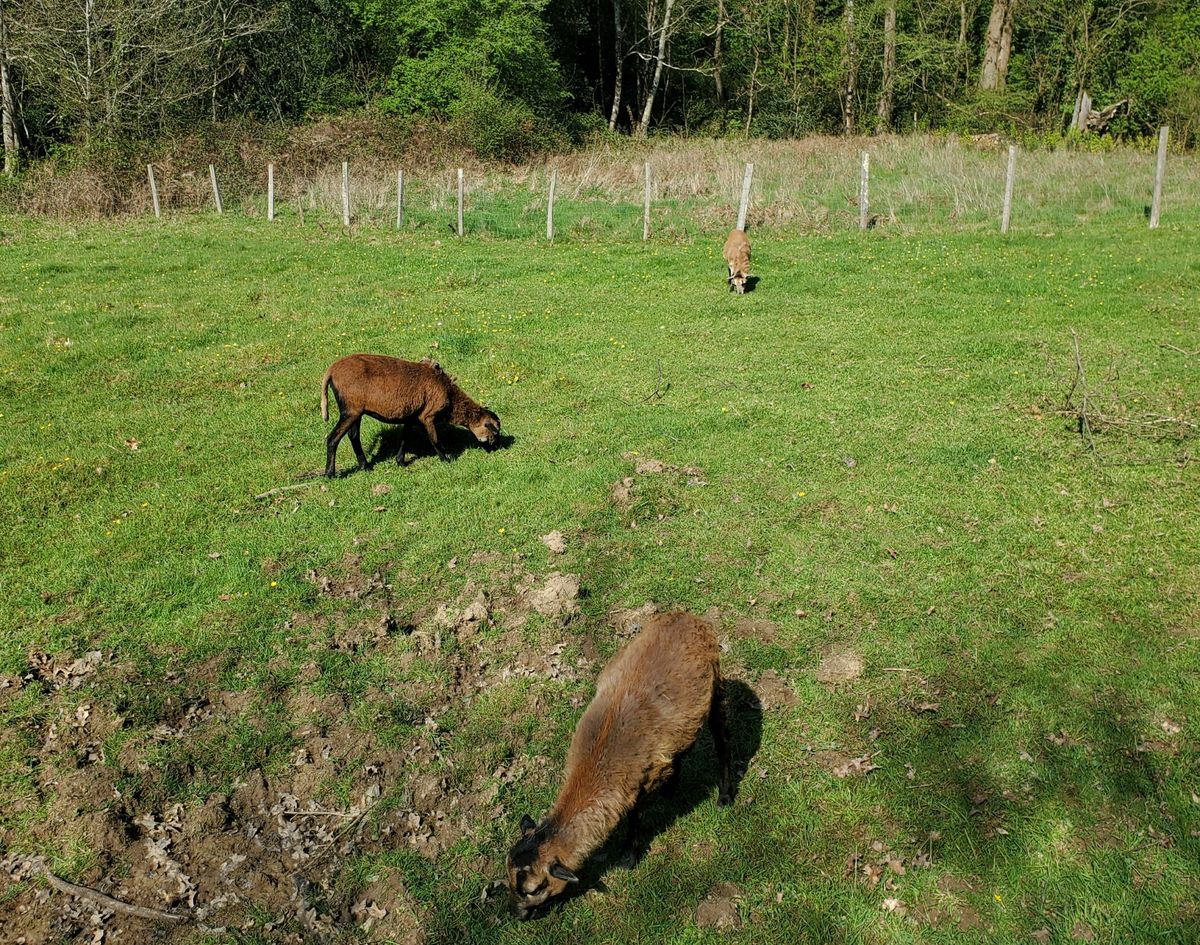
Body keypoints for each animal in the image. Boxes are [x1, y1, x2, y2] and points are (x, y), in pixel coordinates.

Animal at [319, 354, 501, 478]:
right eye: (495, 431)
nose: (495, 448)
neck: (450, 396)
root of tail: (331, 371)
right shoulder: (427, 415)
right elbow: (434, 440)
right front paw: (446, 460)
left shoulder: (412, 415)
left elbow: (405, 437)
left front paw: (400, 461)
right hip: (350, 410)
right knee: (333, 438)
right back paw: (330, 474)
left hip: (356, 411)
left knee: (353, 436)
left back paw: (365, 466)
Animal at [506, 611, 731, 920]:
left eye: (534, 888)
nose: (517, 915)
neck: (597, 763)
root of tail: (685, 616)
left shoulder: (640, 783)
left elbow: (635, 818)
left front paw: (629, 857)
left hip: (716, 684)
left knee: (723, 739)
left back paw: (725, 795)